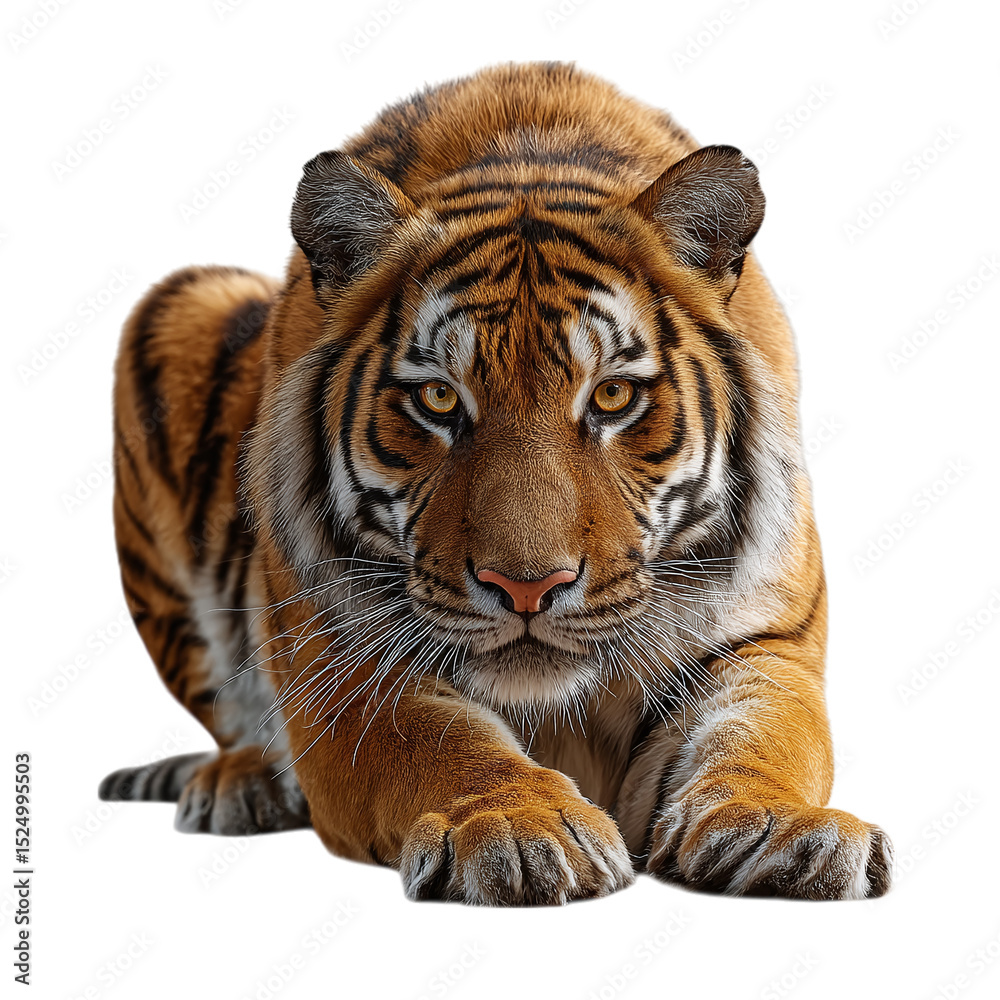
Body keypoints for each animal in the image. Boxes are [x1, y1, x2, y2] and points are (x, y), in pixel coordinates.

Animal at [99, 61, 893, 904]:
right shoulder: (343, 660)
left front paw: (785, 830)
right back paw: (244, 783)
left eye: (613, 395)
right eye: (439, 399)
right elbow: (443, 743)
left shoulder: (766, 639)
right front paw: (519, 829)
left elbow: (764, 735)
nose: (526, 588)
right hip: (178, 306)